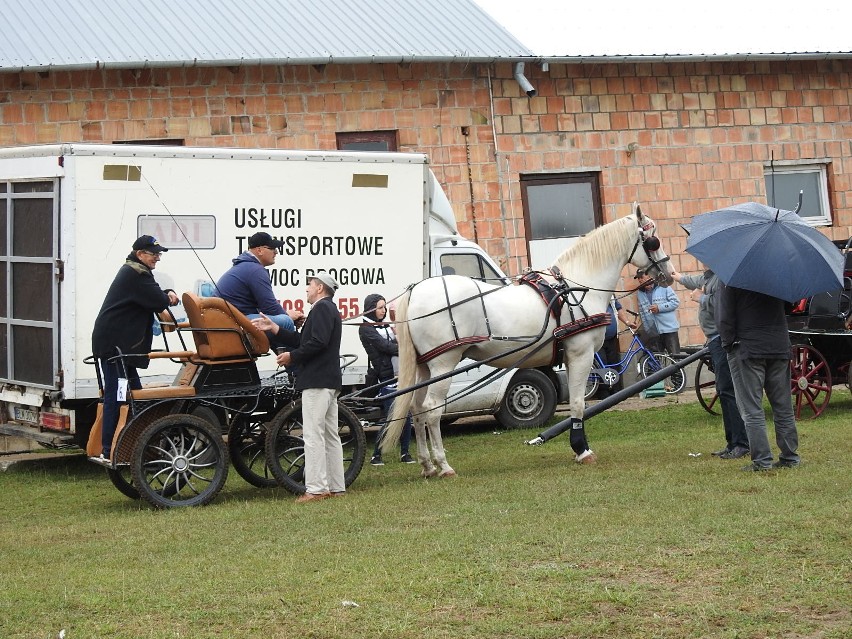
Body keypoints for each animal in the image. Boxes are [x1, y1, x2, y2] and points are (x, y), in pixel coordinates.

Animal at [382, 204, 672, 476]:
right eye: (653, 240)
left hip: (425, 366)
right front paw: (582, 449)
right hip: (443, 364)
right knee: (432, 409)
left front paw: (579, 447)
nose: (669, 273)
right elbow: (579, 403)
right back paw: (443, 465)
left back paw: (427, 465)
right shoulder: (581, 353)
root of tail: (415, 290)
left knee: (417, 409)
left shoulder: (569, 357)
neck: (576, 287)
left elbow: (576, 402)